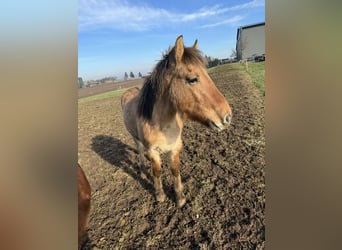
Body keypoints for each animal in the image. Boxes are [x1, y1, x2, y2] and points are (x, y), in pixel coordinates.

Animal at [121, 35, 232, 207]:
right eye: (192, 79)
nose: (227, 117)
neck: (163, 124)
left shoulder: (175, 147)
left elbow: (175, 170)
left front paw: (179, 197)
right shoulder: (152, 151)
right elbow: (157, 171)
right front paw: (159, 194)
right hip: (135, 138)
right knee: (140, 151)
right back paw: (142, 169)